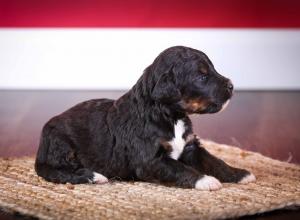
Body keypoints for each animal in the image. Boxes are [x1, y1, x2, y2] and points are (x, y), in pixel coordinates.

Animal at [35, 45, 255, 190]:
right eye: (202, 76)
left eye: (213, 69)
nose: (231, 86)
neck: (171, 116)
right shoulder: (149, 160)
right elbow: (178, 167)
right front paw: (205, 180)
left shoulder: (191, 147)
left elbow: (215, 161)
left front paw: (240, 174)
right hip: (62, 146)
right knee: (59, 171)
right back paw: (94, 176)